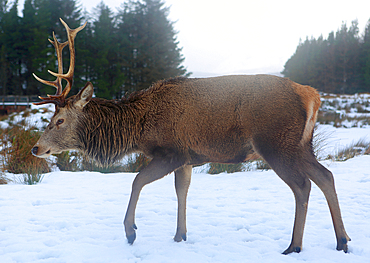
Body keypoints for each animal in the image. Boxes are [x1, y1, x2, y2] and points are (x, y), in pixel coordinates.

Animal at [31, 19, 350, 255]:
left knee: (302, 185)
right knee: (326, 176)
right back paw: (342, 241)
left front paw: (130, 232)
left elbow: (137, 181)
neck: (136, 129)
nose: (35, 148)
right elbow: (181, 191)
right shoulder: (186, 159)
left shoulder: (171, 151)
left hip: (275, 143)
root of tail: (312, 95)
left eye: (59, 120)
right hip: (302, 145)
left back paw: (294, 246)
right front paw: (179, 235)